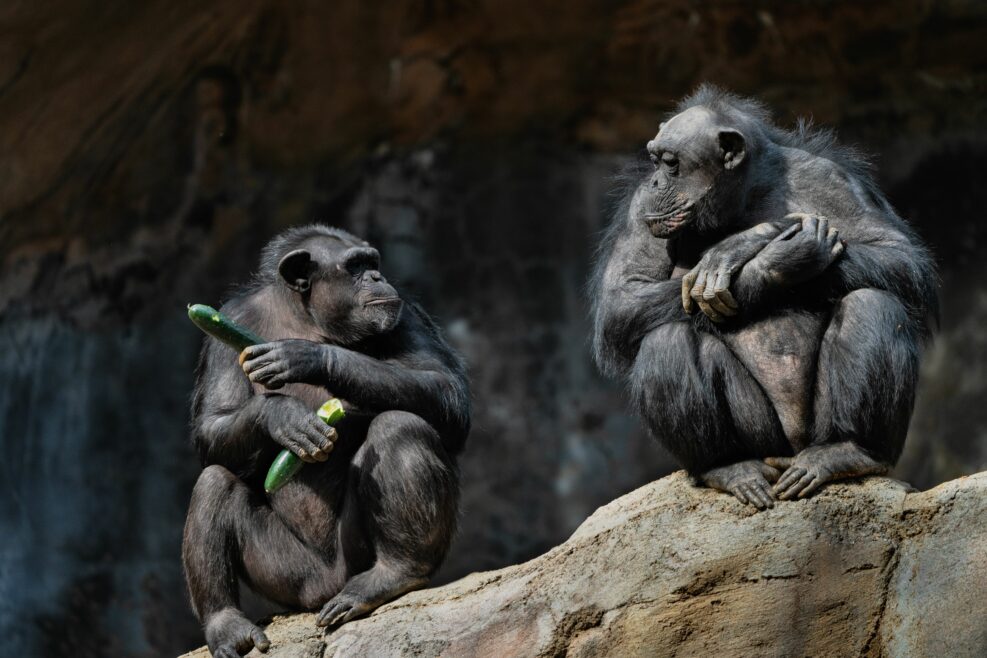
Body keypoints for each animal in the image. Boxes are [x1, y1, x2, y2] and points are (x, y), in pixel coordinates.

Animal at [184, 223, 470, 652]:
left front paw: (310, 358)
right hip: (287, 576)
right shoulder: (228, 320)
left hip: (351, 558)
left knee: (400, 425)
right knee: (214, 480)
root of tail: (321, 592)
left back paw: (392, 574)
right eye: (355, 266)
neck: (305, 313)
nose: (377, 277)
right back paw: (226, 624)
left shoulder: (404, 313)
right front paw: (281, 415)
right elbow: (213, 422)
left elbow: (446, 389)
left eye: (372, 262)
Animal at [592, 86, 936, 508]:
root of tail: (790, 452)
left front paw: (747, 243)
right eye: (655, 161)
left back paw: (850, 451)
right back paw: (726, 466)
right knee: (666, 339)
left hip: (812, 434)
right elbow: (624, 297)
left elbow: (898, 257)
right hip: (761, 436)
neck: (744, 195)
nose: (657, 181)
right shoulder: (640, 207)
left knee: (873, 302)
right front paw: (773, 257)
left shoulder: (830, 177)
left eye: (671, 163)